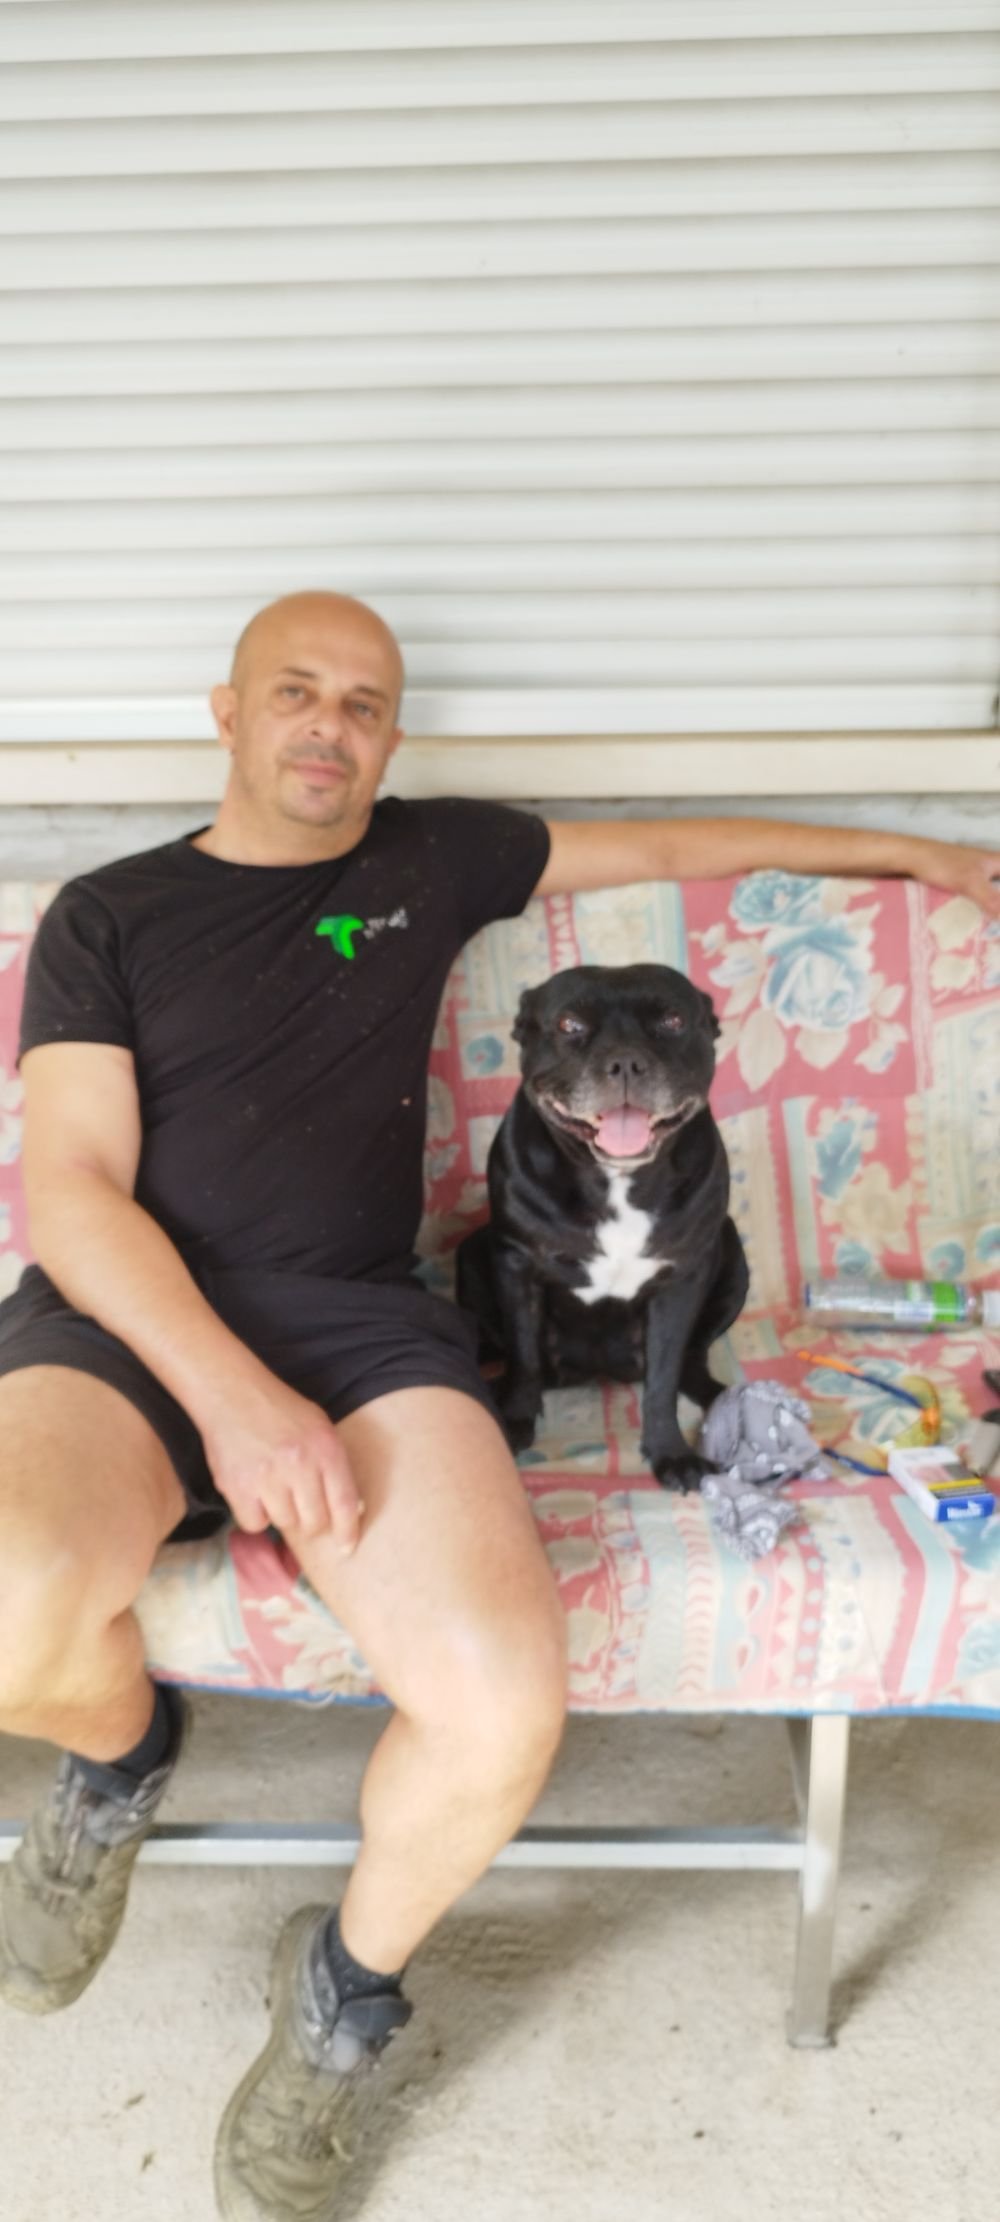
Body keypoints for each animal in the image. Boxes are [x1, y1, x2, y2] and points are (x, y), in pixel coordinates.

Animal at [456, 962, 749, 1491]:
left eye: (673, 1020)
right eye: (569, 1025)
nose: (625, 1062)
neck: (616, 1180)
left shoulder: (681, 1279)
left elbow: (663, 1376)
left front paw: (670, 1453)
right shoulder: (516, 1264)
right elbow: (523, 1355)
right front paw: (513, 1421)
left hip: (732, 1253)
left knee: (692, 1356)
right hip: (471, 1253)